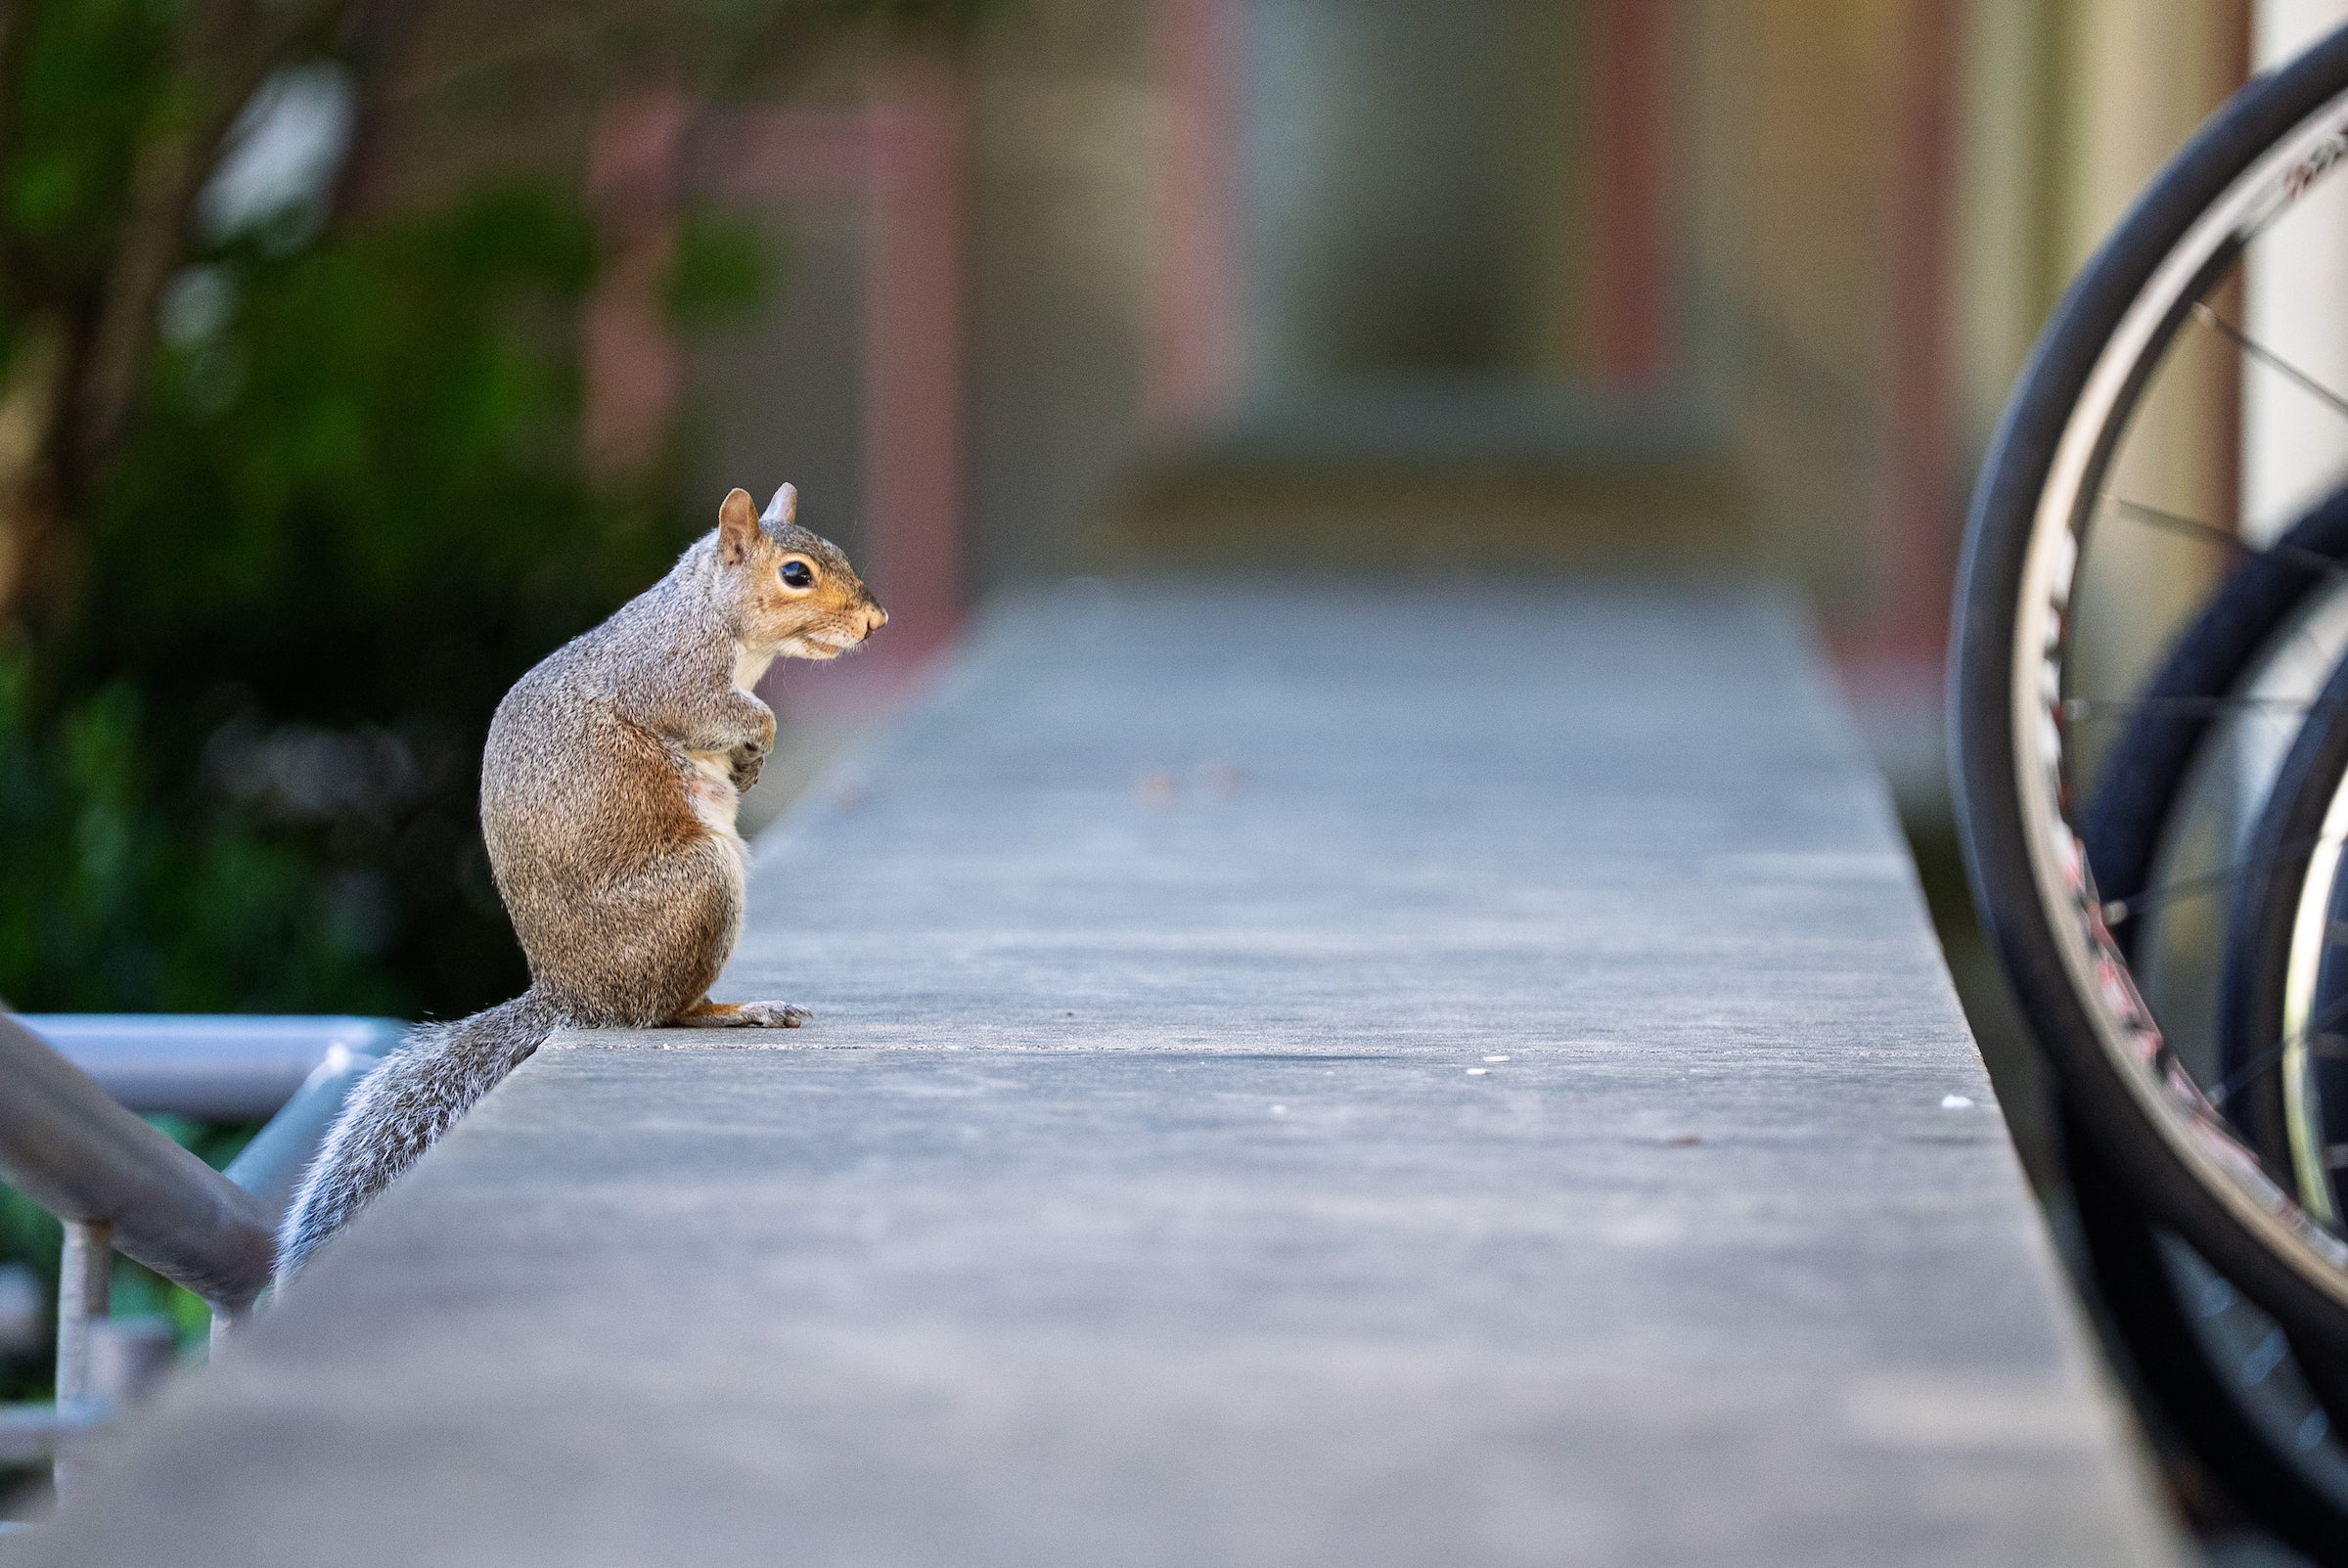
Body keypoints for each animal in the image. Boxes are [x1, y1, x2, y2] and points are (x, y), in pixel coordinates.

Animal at [276, 484, 886, 1283]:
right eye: (795, 574)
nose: (875, 622)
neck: (711, 617)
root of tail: (572, 995)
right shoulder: (672, 678)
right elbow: (738, 714)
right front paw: (761, 740)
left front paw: (751, 764)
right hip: (702, 887)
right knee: (662, 1013)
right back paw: (736, 1010)